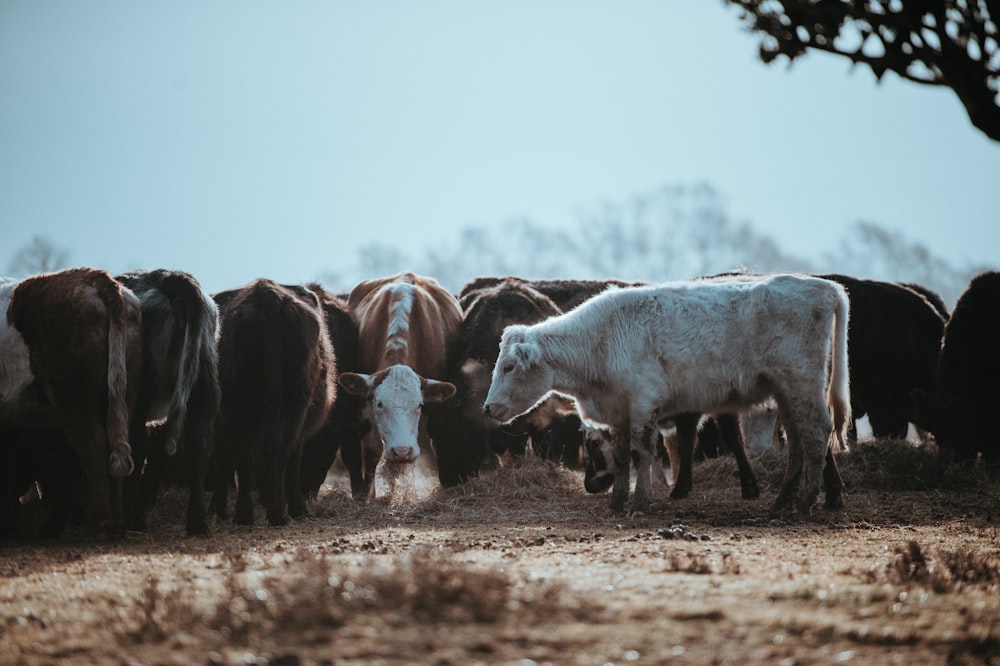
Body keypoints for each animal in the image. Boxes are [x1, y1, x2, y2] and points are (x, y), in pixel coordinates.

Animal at [2, 268, 143, 536]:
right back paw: (116, 525)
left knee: (93, 445)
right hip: (122, 394)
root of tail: (95, 278)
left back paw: (99, 525)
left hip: (74, 397)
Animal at [486, 272, 852, 516]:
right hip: (786, 391)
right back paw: (783, 501)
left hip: (802, 382)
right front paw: (617, 501)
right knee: (798, 438)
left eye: (508, 367)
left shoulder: (643, 403)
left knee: (817, 432)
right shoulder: (619, 410)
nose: (488, 408)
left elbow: (643, 452)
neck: (601, 339)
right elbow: (623, 456)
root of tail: (824, 287)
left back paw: (805, 502)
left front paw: (641, 503)